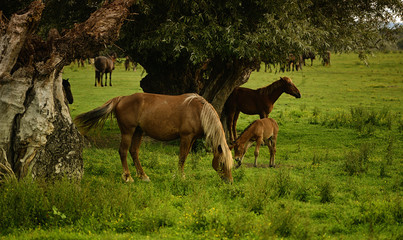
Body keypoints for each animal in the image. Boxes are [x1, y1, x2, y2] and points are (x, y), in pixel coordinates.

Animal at [74, 93, 235, 183]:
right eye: (222, 163)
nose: (229, 182)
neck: (199, 112)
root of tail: (121, 99)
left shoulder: (192, 138)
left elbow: (185, 156)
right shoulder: (185, 137)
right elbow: (182, 157)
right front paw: (179, 177)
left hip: (138, 131)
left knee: (134, 151)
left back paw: (143, 176)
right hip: (128, 132)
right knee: (123, 151)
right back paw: (128, 177)